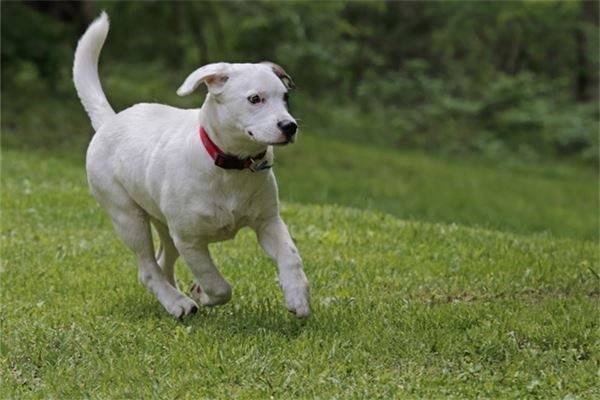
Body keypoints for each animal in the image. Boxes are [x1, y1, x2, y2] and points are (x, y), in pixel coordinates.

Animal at [72, 13, 310, 318]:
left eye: (285, 98)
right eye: (255, 99)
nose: (289, 127)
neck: (230, 167)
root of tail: (109, 121)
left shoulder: (268, 222)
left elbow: (291, 257)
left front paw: (297, 297)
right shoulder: (190, 241)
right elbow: (218, 285)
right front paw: (201, 293)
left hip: (162, 222)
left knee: (162, 262)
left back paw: (172, 297)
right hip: (127, 216)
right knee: (148, 269)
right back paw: (178, 303)